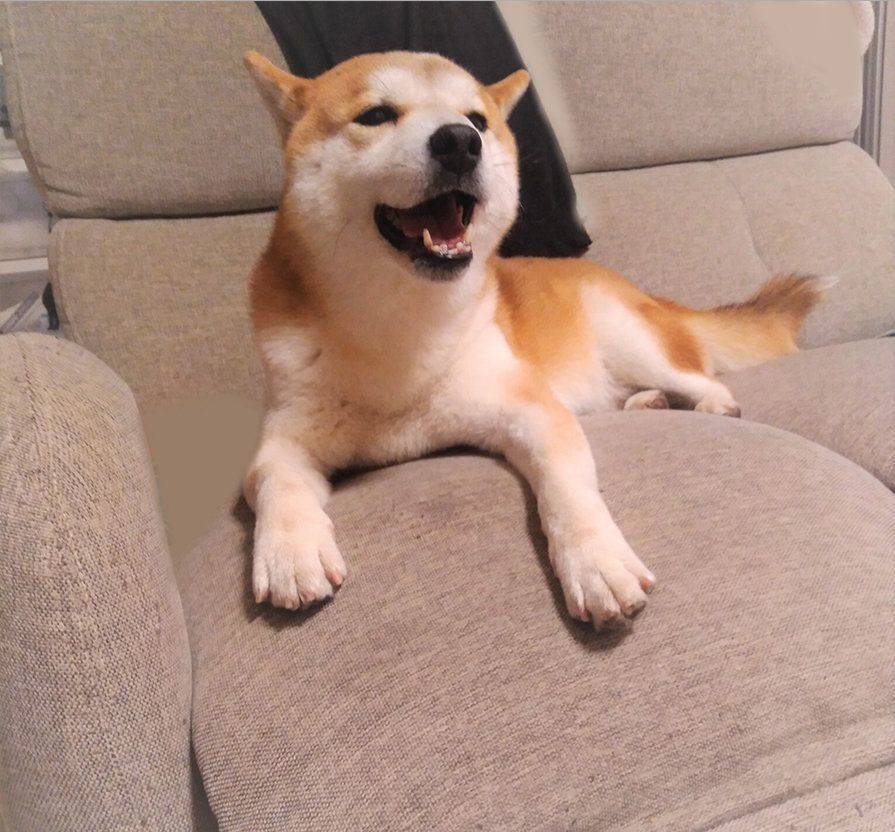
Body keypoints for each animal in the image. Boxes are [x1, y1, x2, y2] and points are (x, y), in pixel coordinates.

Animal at [242, 50, 831, 629]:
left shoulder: (532, 411)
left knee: (701, 375)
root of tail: (639, 289)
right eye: (376, 115)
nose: (460, 141)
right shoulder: (287, 435)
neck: (404, 322)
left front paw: (596, 560)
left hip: (628, 335)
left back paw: (707, 405)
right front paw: (290, 551)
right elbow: (274, 479)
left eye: (478, 120)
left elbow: (568, 489)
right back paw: (648, 403)